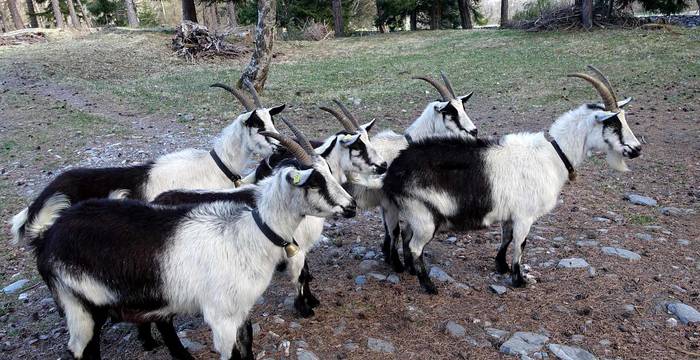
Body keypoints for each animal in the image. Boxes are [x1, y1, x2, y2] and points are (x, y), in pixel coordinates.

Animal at [27, 128, 356, 358]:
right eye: (314, 181)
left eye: (329, 172)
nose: (351, 206)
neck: (249, 233)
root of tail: (48, 236)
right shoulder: (221, 315)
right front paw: (306, 307)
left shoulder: (240, 308)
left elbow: (248, 343)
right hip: (80, 302)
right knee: (83, 348)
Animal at [153, 104, 388, 318]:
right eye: (358, 146)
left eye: (328, 171)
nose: (351, 206)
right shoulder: (297, 246)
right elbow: (301, 275)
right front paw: (305, 308)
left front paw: (310, 300)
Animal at [382, 67, 640, 292]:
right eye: (612, 122)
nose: (636, 149)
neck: (552, 155)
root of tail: (393, 171)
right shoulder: (525, 215)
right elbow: (520, 244)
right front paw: (519, 279)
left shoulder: (509, 214)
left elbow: (506, 238)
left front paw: (502, 266)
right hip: (424, 217)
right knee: (416, 246)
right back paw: (428, 286)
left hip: (415, 214)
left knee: (406, 236)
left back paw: (411, 270)